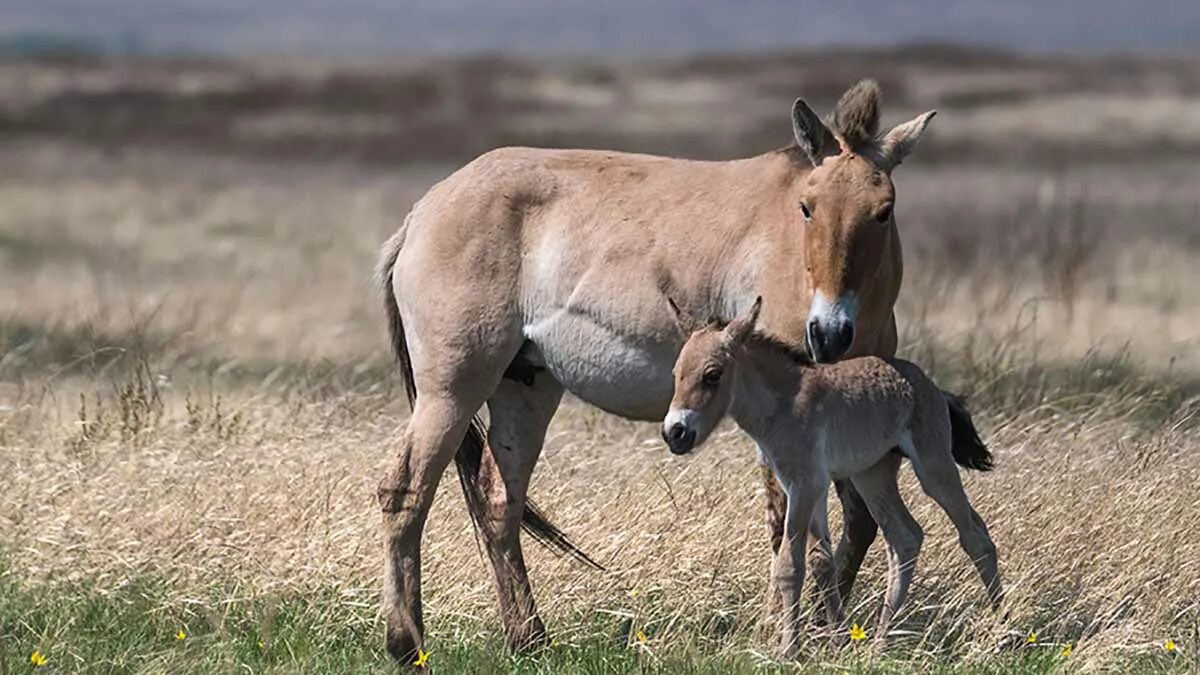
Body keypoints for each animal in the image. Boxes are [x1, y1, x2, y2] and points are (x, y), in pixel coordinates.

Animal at [374, 79, 936, 662]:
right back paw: (406, 644)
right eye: (807, 207)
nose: (827, 334)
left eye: (884, 211)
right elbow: (788, 526)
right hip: (451, 391)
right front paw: (779, 635)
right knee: (404, 491)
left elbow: (856, 522)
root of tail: (420, 215)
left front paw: (833, 630)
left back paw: (529, 640)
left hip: (524, 390)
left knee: (499, 502)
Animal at [667, 296, 1003, 653]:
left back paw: (1003, 631)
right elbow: (822, 560)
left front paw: (789, 650)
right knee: (905, 537)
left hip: (933, 466)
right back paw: (880, 643)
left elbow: (791, 564)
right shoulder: (807, 485)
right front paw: (838, 640)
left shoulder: (805, 484)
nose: (675, 433)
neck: (783, 403)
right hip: (872, 476)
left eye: (712, 374)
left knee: (975, 535)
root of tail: (934, 387)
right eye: (676, 373)